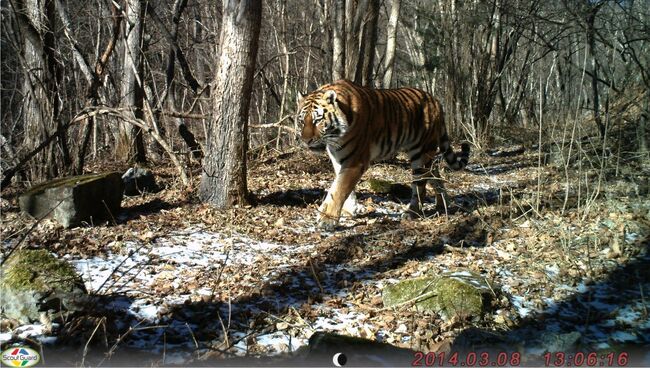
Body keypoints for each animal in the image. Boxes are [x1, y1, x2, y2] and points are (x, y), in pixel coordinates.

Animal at [294, 80, 466, 230]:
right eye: (302, 121)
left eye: (317, 120)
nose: (306, 140)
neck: (335, 137)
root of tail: (435, 100)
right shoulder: (338, 158)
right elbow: (340, 186)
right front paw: (349, 211)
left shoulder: (356, 161)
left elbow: (339, 189)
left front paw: (327, 219)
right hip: (427, 154)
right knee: (435, 175)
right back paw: (443, 204)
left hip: (421, 153)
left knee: (420, 187)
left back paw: (412, 212)